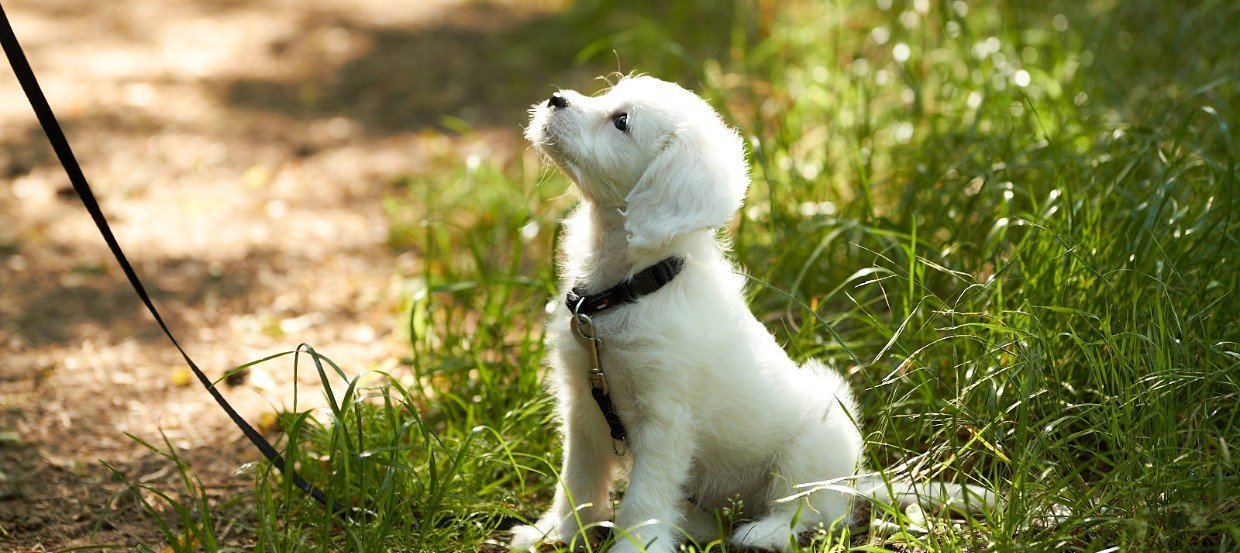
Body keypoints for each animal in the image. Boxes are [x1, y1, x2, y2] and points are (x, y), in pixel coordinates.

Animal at [510, 76, 987, 553]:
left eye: (621, 121)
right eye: (608, 96)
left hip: (815, 442)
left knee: (810, 511)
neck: (628, 291)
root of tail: (854, 482)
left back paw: (764, 531)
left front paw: (633, 547)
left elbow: (643, 499)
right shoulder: (581, 402)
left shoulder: (663, 419)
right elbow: (578, 479)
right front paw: (556, 530)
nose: (555, 99)